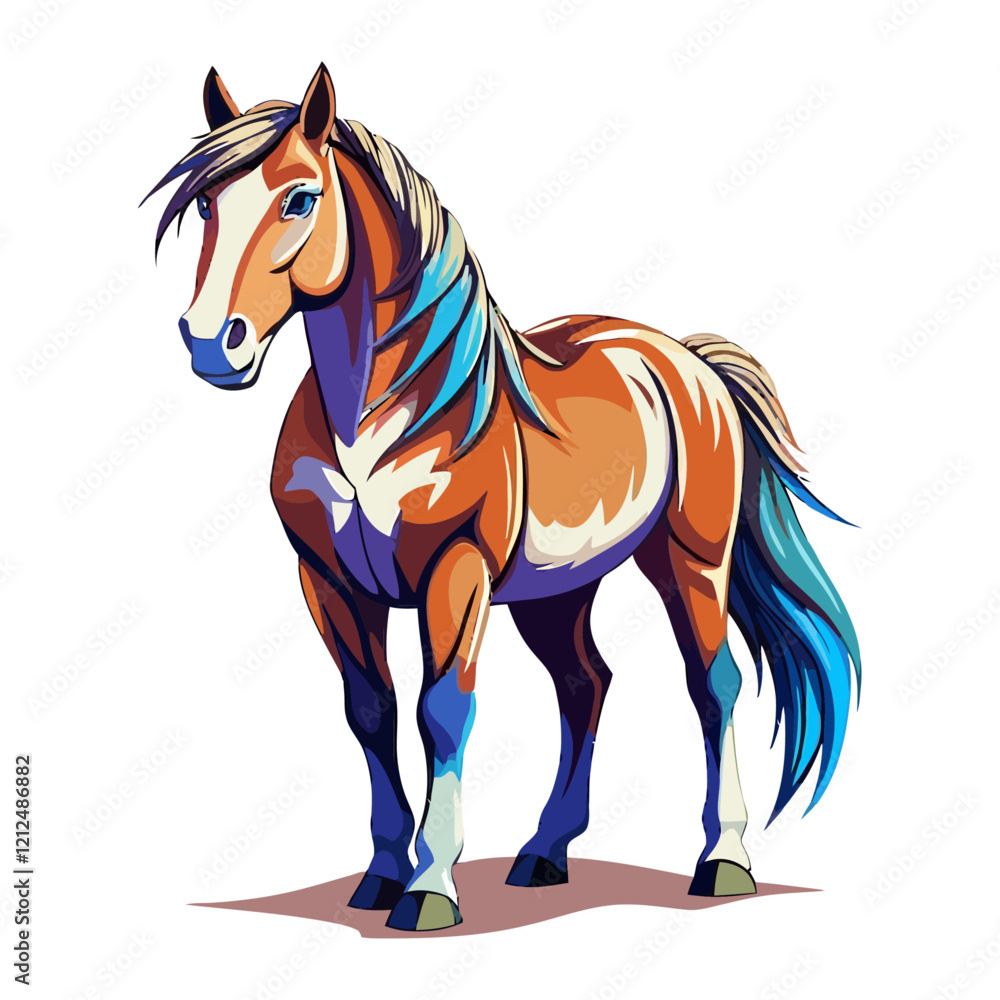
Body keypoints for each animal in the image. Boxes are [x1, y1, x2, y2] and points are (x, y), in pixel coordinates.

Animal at [145, 64, 860, 932]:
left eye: (300, 198)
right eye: (207, 205)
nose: (213, 343)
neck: (381, 413)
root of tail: (687, 361)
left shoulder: (456, 573)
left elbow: (442, 711)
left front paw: (430, 886)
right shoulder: (330, 583)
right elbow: (371, 711)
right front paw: (381, 873)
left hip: (689, 564)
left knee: (711, 684)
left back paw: (722, 859)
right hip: (557, 592)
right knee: (586, 686)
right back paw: (546, 851)